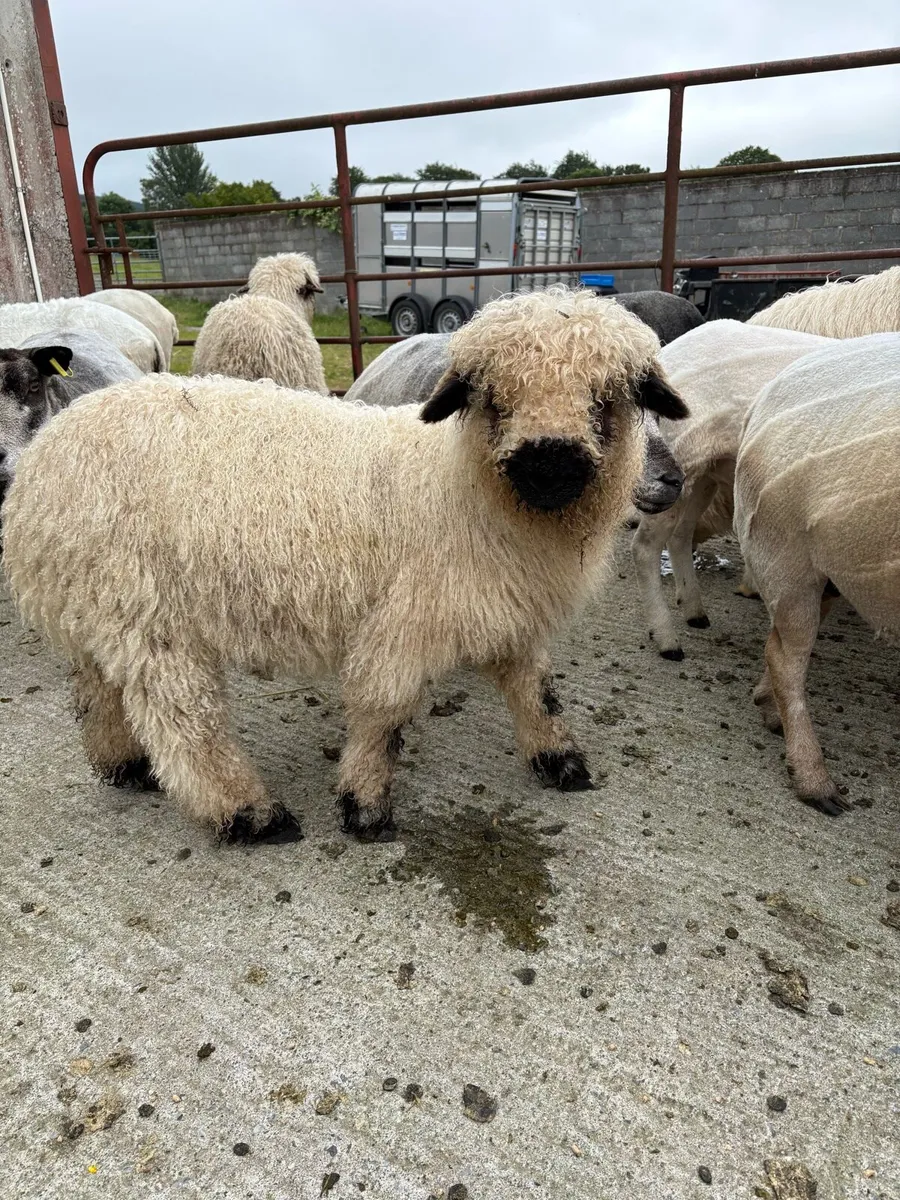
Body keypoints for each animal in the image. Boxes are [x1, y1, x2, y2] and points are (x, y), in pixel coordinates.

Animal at [631, 320, 831, 659]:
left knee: (680, 534)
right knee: (645, 548)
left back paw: (694, 610)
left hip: (703, 473)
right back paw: (667, 638)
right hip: (678, 464)